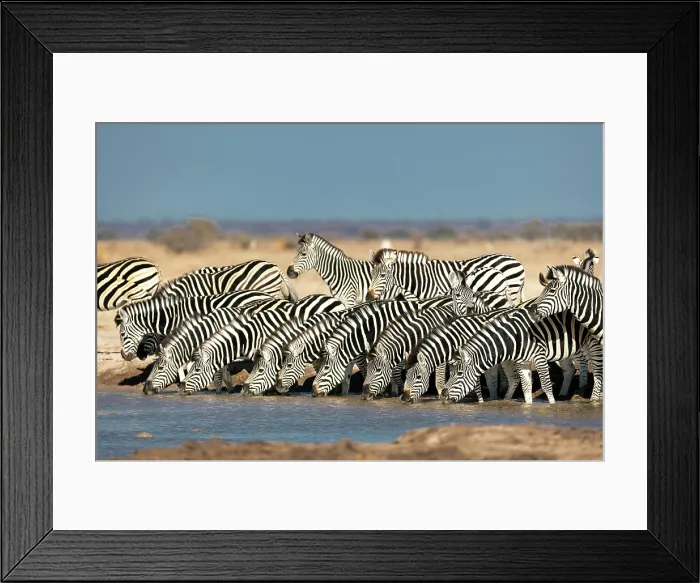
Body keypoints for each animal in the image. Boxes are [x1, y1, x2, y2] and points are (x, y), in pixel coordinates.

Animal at [366, 248, 525, 306]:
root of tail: (517, 261)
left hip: (511, 291)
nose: (368, 296)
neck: (421, 279)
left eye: (382, 275)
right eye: (371, 274)